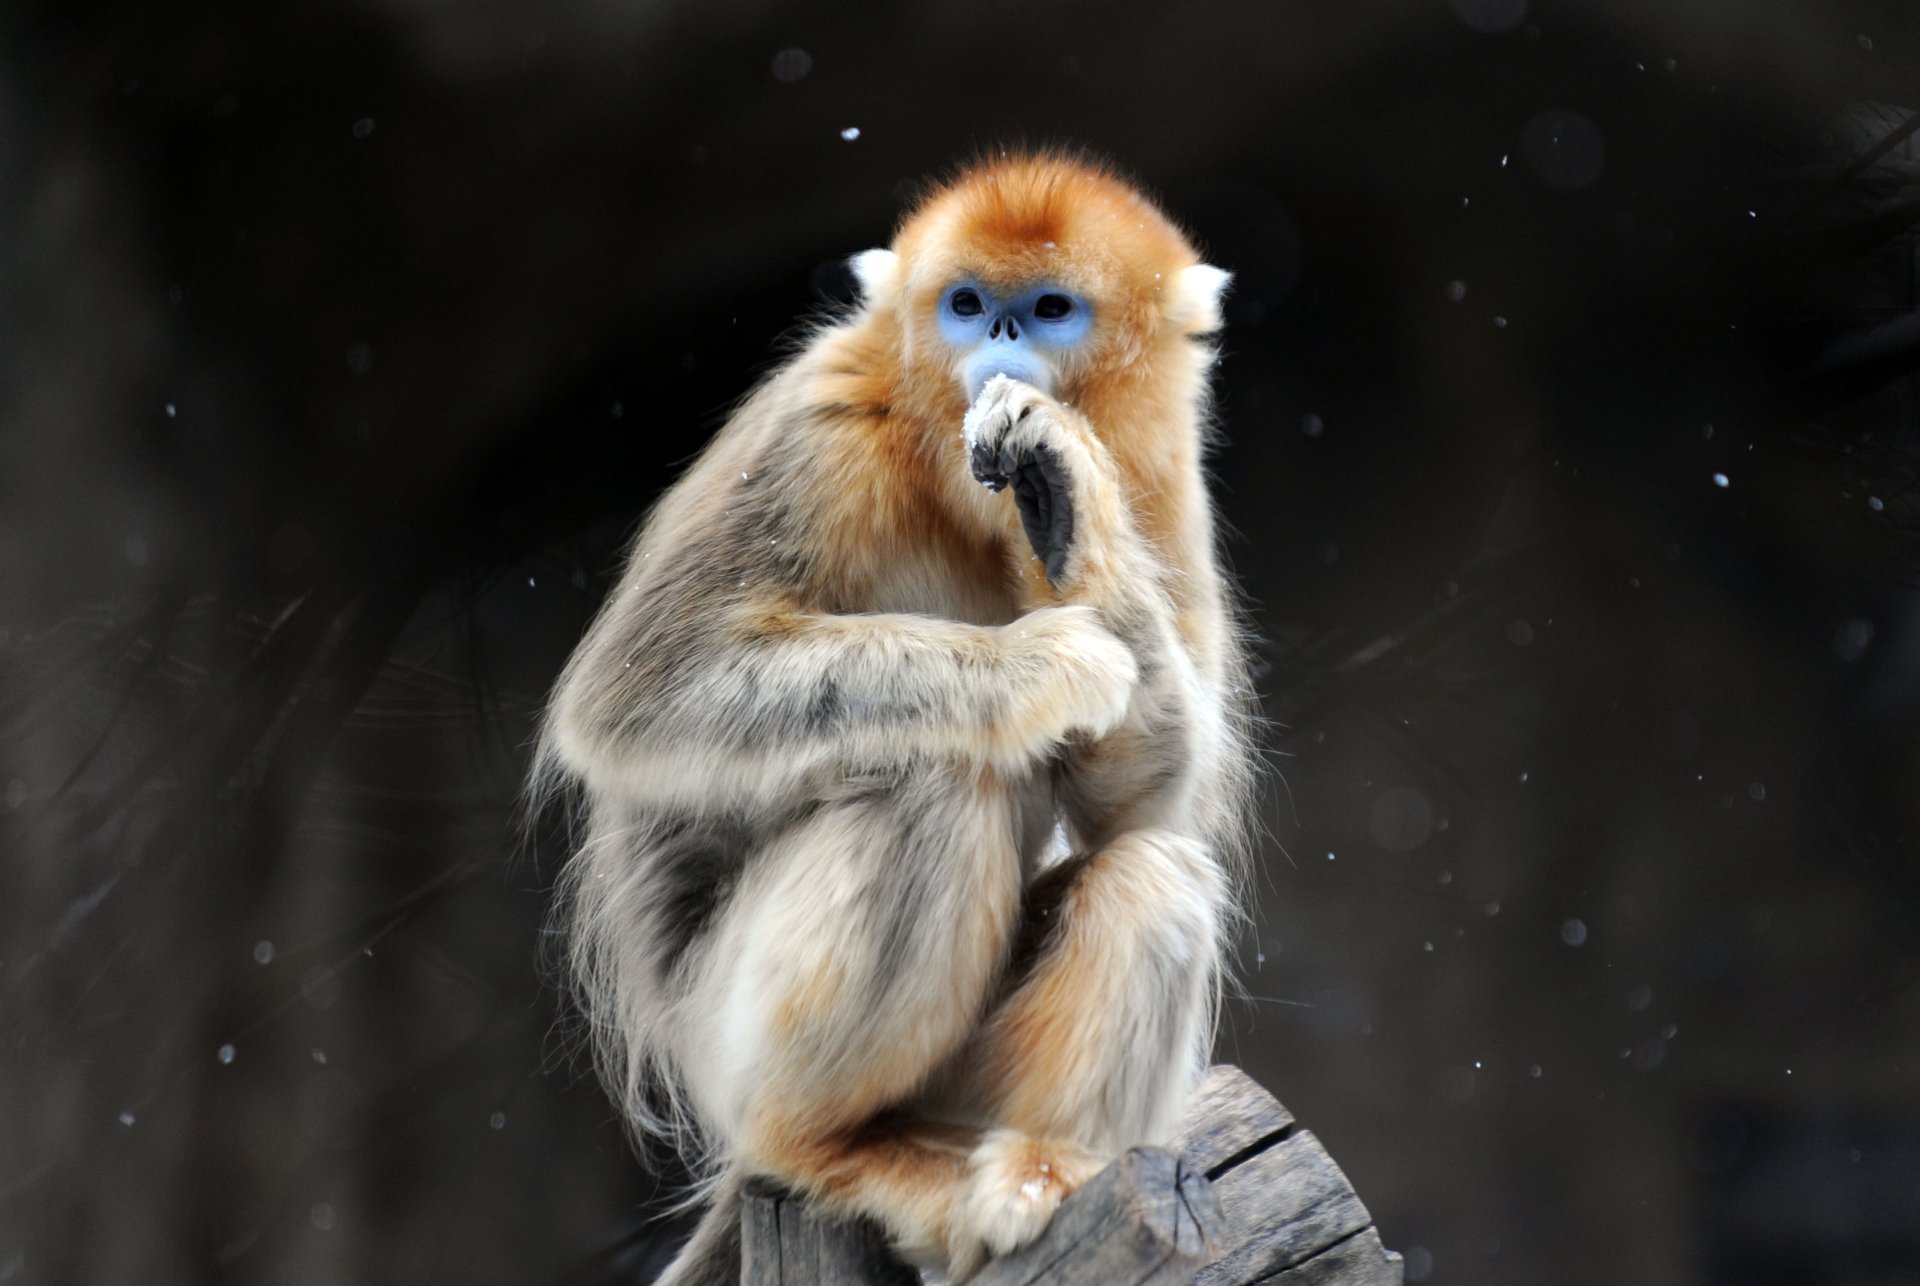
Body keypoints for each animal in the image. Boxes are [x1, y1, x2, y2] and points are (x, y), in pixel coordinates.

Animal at [538, 152, 1256, 1282]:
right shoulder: (819, 426)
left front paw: (1064, 490)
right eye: (965, 304)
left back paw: (1038, 1169)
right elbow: (636, 696)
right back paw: (826, 1145)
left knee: (1154, 871)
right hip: (728, 1037)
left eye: (1049, 309)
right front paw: (1044, 663)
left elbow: (1150, 805)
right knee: (934, 776)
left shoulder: (1163, 475)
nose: (997, 335)